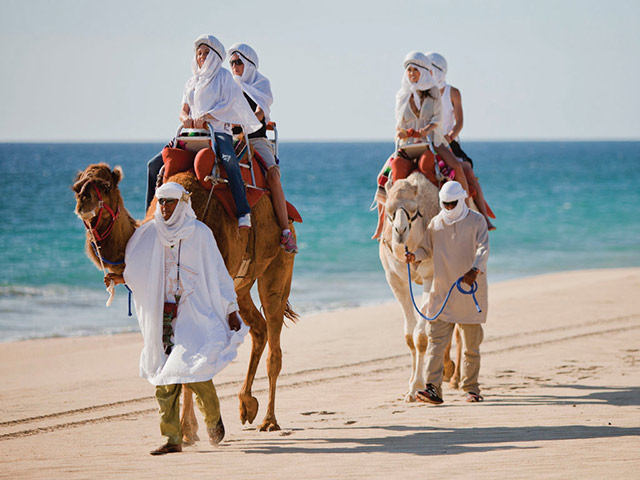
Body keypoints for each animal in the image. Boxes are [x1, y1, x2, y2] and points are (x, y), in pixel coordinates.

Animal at [378, 171, 461, 401]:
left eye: (415, 209)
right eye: (388, 209)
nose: (400, 230)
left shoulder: (431, 277)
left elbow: (422, 336)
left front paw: (417, 386)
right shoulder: (394, 278)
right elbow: (409, 336)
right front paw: (411, 387)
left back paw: (456, 378)